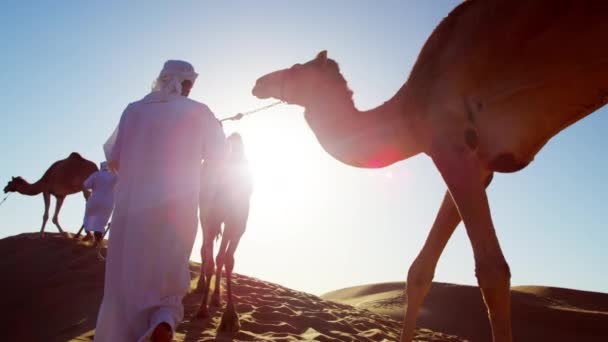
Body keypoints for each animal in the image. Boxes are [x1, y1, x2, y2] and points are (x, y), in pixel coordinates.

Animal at [195, 132, 252, 332]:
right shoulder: (209, 216)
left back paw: (216, 297)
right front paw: (202, 309)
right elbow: (210, 259)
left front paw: (230, 316)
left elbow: (227, 260)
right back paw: (202, 287)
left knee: (219, 256)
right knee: (205, 251)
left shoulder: (238, 222)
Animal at [252, 0, 608, 340]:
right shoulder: (476, 163)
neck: (410, 110)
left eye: (296, 69)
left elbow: (492, 272)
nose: (258, 81)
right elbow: (420, 271)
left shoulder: (449, 143)